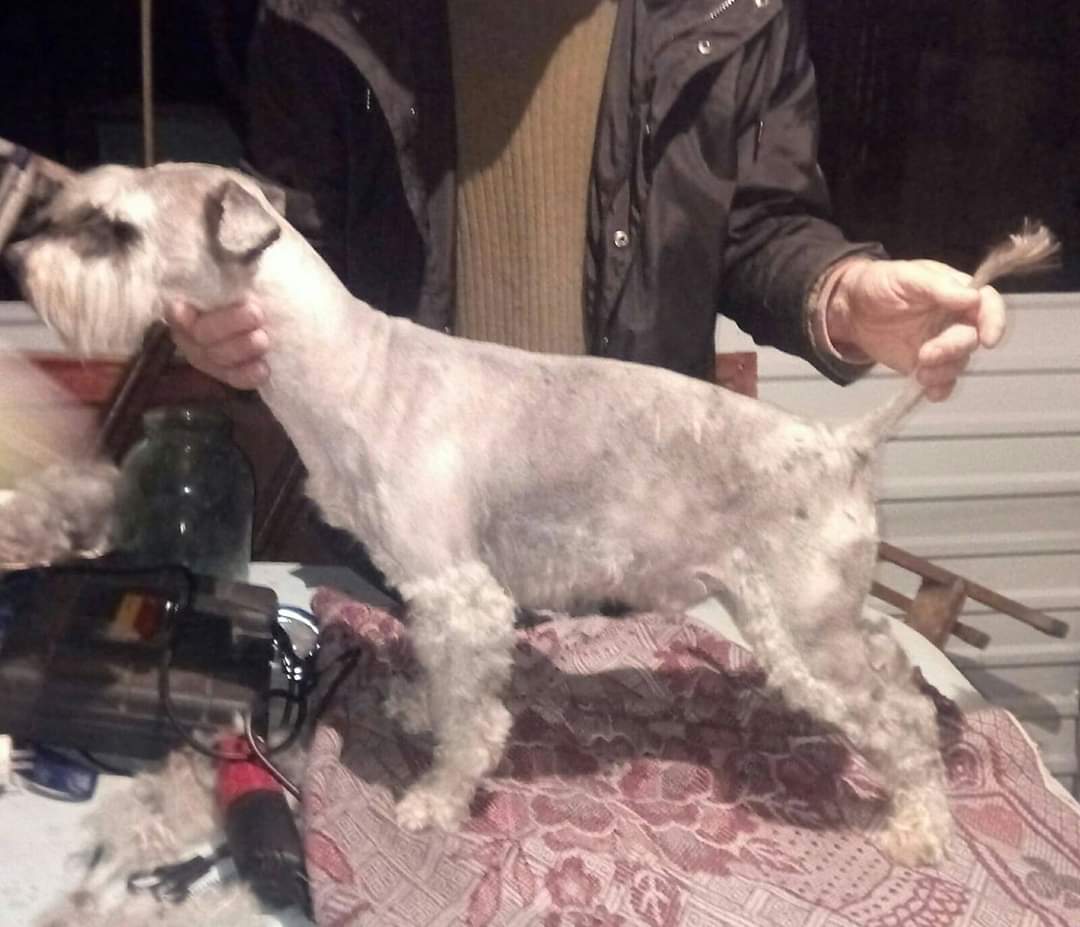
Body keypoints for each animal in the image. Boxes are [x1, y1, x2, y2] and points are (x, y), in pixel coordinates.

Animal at [4, 161, 1056, 867]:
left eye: (119, 229)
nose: (25, 261)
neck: (354, 370)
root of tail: (844, 444)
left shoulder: (462, 592)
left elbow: (476, 719)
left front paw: (434, 799)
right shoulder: (434, 592)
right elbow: (444, 681)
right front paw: (415, 709)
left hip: (802, 630)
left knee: (903, 714)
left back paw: (919, 825)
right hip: (817, 618)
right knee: (896, 677)